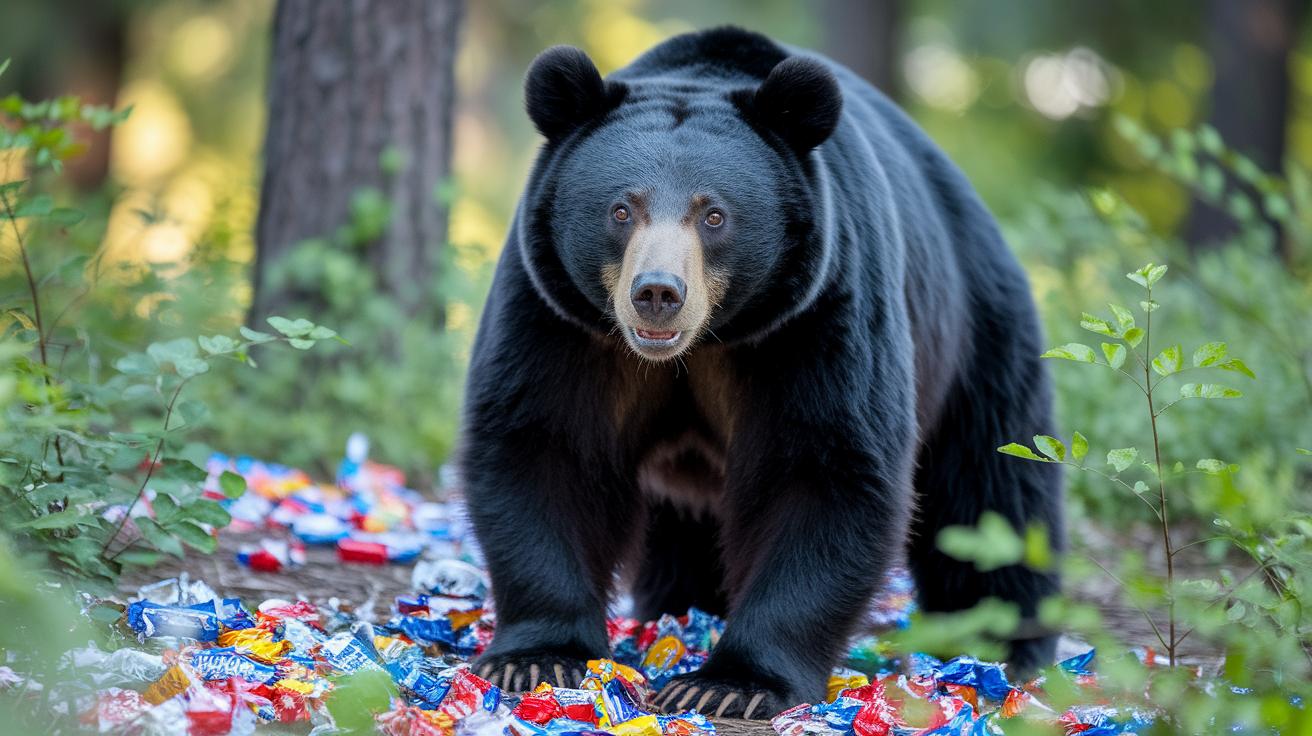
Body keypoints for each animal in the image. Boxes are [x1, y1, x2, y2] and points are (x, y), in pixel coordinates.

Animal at [459, 27, 1064, 720]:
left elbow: (823, 471)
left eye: (714, 215)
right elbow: (543, 447)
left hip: (975, 333)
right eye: (621, 209)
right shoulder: (561, 322)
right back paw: (682, 604)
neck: (704, 344)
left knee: (992, 495)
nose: (658, 293)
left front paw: (730, 684)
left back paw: (1005, 643)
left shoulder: (816, 321)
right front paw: (537, 657)